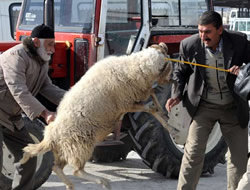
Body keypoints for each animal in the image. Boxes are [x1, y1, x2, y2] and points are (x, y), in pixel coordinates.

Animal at [20, 42, 174, 189]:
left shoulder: (138, 95)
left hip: (66, 150)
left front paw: (166, 119)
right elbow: (150, 108)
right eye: (169, 64)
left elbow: (154, 99)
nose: (173, 80)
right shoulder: (126, 103)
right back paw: (103, 182)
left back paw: (70, 185)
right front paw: (167, 122)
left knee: (56, 167)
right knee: (76, 171)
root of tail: (50, 138)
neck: (134, 67)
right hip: (80, 146)